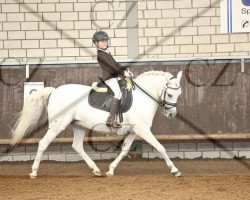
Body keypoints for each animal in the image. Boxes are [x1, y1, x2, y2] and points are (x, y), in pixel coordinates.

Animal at [10, 70, 183, 178]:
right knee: (43, 143)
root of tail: (54, 91)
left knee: (77, 146)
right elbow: (160, 147)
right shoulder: (143, 129)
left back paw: (96, 170)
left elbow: (124, 150)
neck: (143, 97)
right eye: (170, 94)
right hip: (58, 125)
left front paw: (111, 170)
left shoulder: (134, 131)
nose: (171, 114)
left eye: (179, 94)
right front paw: (175, 170)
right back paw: (34, 172)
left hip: (78, 125)